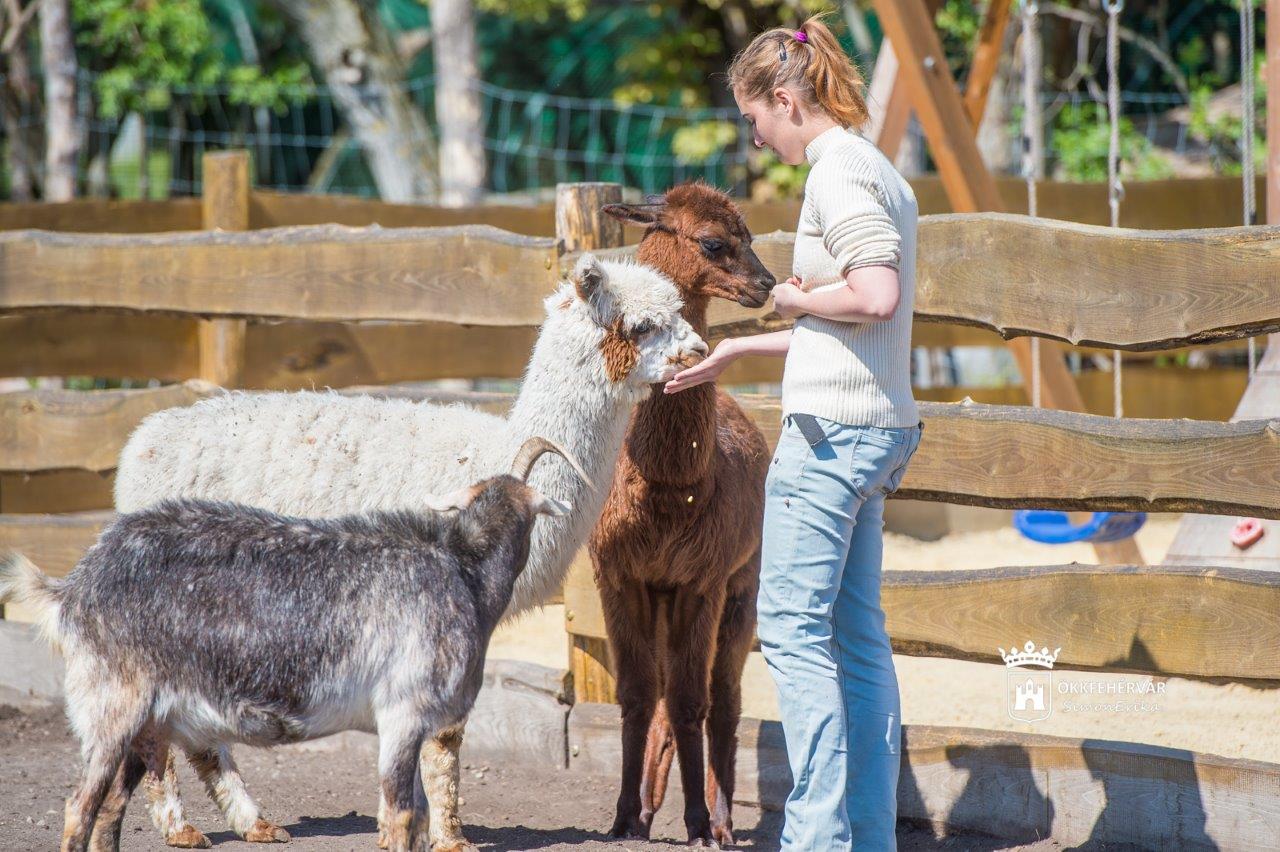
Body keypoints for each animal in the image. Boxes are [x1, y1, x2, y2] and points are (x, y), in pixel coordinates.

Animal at [0, 434, 588, 844]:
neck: (461, 568)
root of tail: (73, 587)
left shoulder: (412, 724)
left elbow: (415, 815)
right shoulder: (403, 712)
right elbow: (401, 814)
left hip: (147, 723)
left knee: (111, 810)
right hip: (112, 706)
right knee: (80, 806)